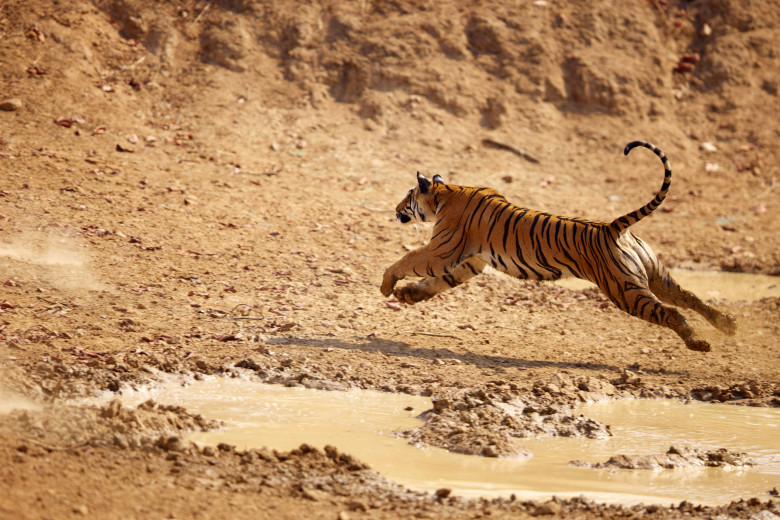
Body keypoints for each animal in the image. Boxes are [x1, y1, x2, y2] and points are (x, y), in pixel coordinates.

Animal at [382, 141, 736, 354]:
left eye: (408, 195)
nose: (396, 208)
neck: (447, 193)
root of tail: (614, 227)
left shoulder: (443, 251)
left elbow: (408, 260)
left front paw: (387, 285)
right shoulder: (471, 261)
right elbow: (438, 283)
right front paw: (408, 295)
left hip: (625, 291)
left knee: (672, 311)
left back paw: (699, 343)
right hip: (654, 275)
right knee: (689, 297)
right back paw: (727, 324)